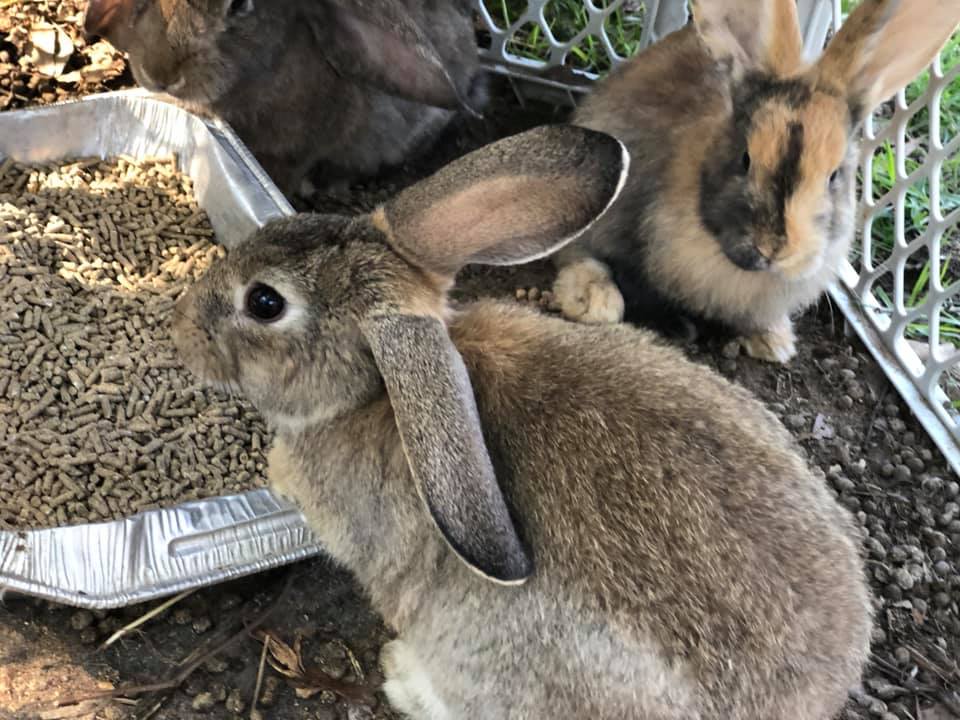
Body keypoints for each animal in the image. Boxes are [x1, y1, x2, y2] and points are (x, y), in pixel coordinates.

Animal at [551, 0, 960, 363]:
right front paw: (594, 301)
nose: (774, 249)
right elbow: (584, 254)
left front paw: (773, 342)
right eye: (745, 158)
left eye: (835, 176)